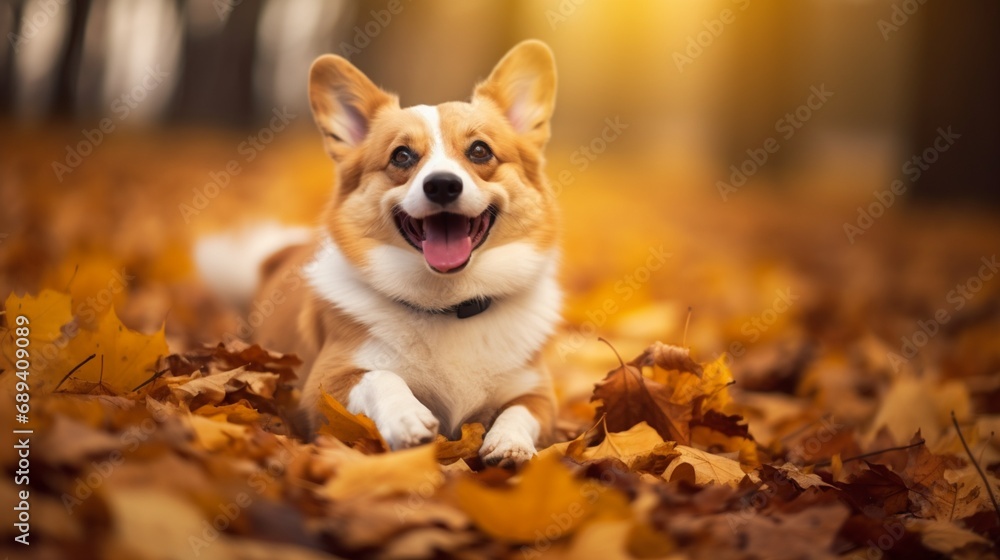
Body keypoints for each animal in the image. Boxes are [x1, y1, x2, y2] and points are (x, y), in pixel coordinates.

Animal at [199, 40, 564, 468]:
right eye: (402, 156)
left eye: (479, 151)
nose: (442, 185)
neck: (449, 304)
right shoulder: (324, 385)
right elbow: (381, 377)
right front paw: (407, 417)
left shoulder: (538, 393)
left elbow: (520, 411)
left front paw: (510, 444)